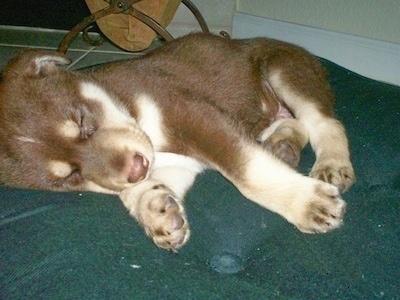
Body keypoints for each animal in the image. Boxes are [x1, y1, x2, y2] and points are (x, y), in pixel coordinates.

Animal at [1, 32, 354, 251]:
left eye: (83, 123)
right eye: (71, 177)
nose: (136, 169)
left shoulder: (195, 115)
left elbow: (248, 172)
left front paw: (307, 204)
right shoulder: (180, 159)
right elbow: (134, 190)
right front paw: (155, 210)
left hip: (284, 69)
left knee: (323, 122)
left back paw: (331, 164)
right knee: (294, 123)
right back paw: (281, 145)